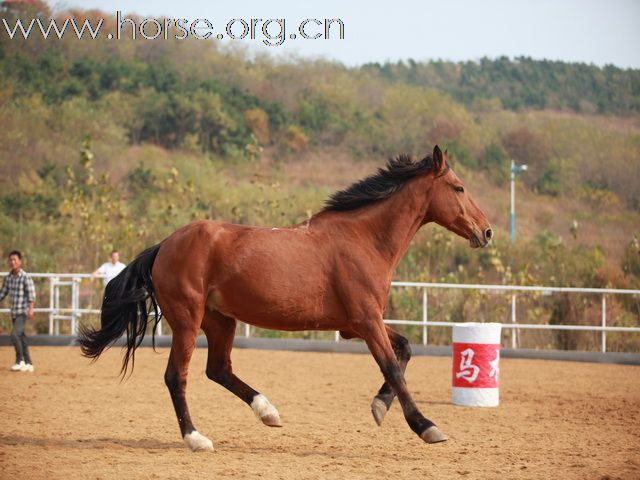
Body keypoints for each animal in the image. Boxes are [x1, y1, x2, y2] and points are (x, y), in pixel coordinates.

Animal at [79, 144, 490, 452]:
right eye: (458, 187)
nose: (486, 232)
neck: (364, 239)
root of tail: (165, 245)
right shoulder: (366, 321)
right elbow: (391, 365)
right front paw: (426, 426)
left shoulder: (356, 325)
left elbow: (404, 348)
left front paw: (379, 407)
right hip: (187, 320)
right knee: (176, 376)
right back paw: (196, 438)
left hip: (220, 320)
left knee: (219, 369)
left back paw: (268, 412)